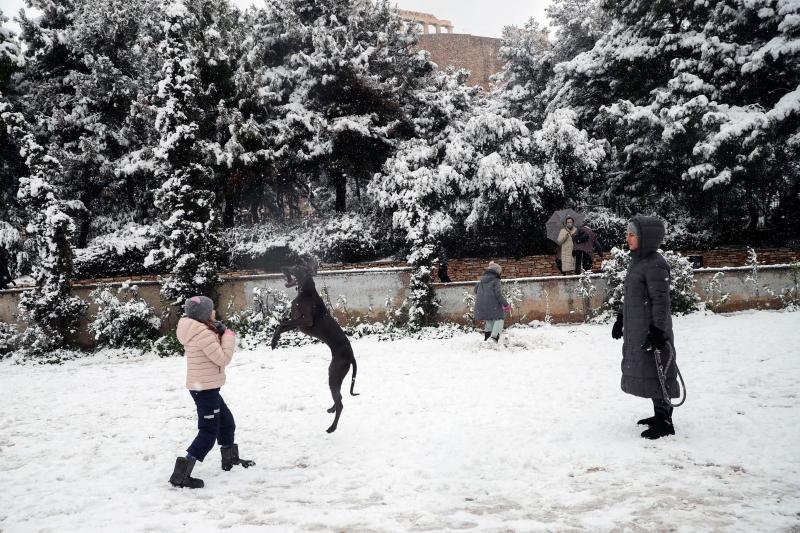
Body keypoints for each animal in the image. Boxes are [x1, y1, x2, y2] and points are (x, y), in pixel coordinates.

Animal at [272, 262, 360, 432]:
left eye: (295, 267)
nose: (282, 267)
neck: (306, 292)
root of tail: (351, 356)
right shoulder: (298, 323)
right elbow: (282, 326)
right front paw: (274, 340)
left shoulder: (306, 321)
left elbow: (282, 323)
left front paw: (274, 341)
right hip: (335, 377)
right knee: (339, 397)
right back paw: (331, 409)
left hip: (334, 375)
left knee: (341, 403)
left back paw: (332, 427)